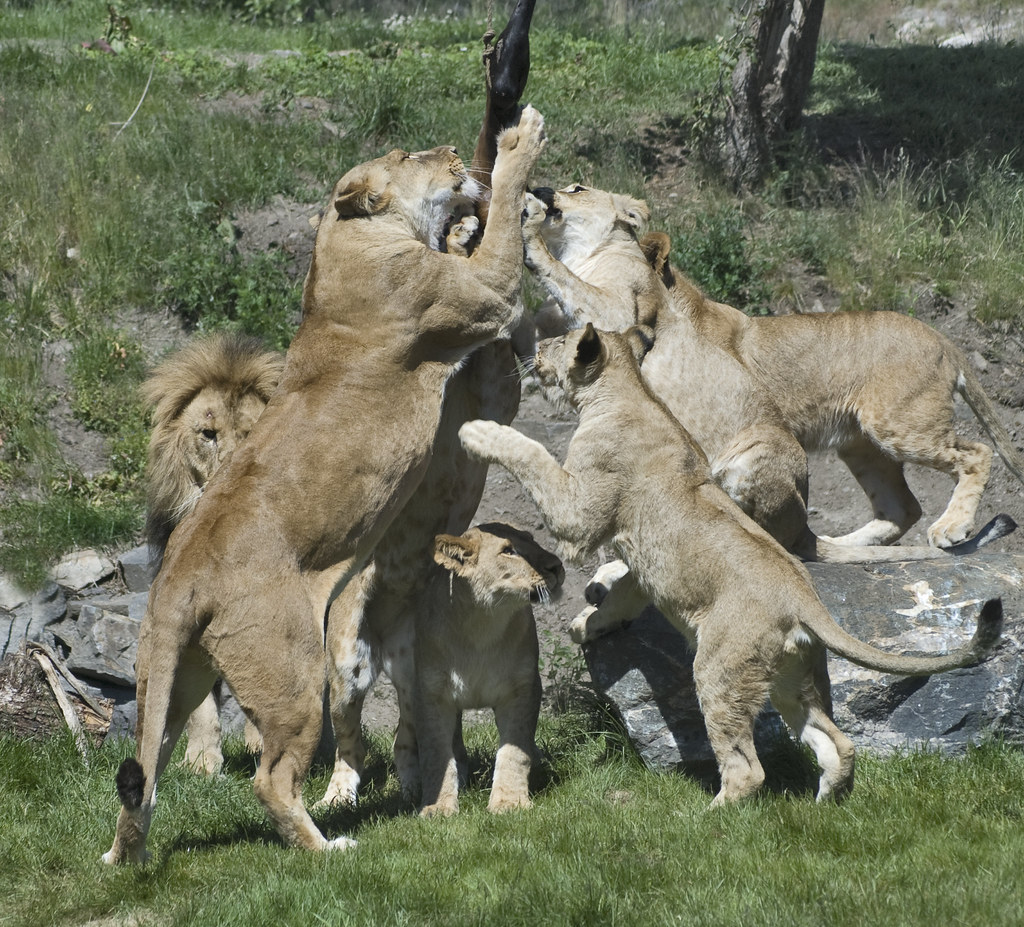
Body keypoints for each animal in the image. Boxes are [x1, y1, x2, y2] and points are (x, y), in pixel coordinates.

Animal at [415, 522, 563, 817]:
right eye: (509, 551)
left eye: (532, 540)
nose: (557, 566)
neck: (482, 623)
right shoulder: (431, 694)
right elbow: (436, 753)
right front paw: (438, 806)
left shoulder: (522, 688)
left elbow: (514, 750)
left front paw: (509, 802)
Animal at [459, 324, 1003, 805]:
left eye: (555, 340)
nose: (529, 349)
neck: (629, 390)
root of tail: (802, 595)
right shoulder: (640, 553)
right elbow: (626, 594)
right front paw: (587, 625)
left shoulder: (581, 516)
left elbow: (533, 455)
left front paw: (478, 429)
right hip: (792, 677)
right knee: (837, 741)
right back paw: (825, 802)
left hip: (720, 668)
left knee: (747, 768)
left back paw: (709, 817)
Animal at [521, 184, 1017, 560]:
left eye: (577, 188)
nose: (540, 189)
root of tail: (945, 340)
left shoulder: (623, 314)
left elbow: (571, 285)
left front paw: (530, 239)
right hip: (861, 446)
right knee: (901, 508)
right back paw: (843, 543)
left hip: (897, 425)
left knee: (975, 454)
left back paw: (951, 527)